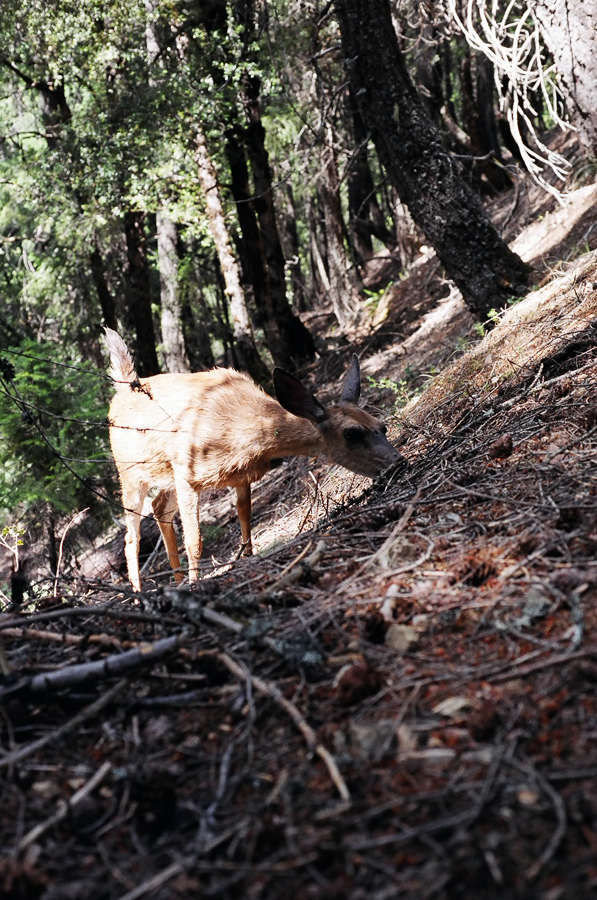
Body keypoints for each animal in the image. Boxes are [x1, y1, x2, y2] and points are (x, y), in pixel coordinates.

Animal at [105, 327, 402, 590]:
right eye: (351, 433)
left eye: (382, 425)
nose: (398, 462)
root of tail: (122, 391)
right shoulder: (186, 473)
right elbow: (195, 541)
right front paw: (195, 584)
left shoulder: (241, 475)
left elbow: (245, 520)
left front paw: (248, 560)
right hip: (129, 474)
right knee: (131, 538)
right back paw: (139, 595)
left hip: (164, 477)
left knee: (159, 509)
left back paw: (175, 581)